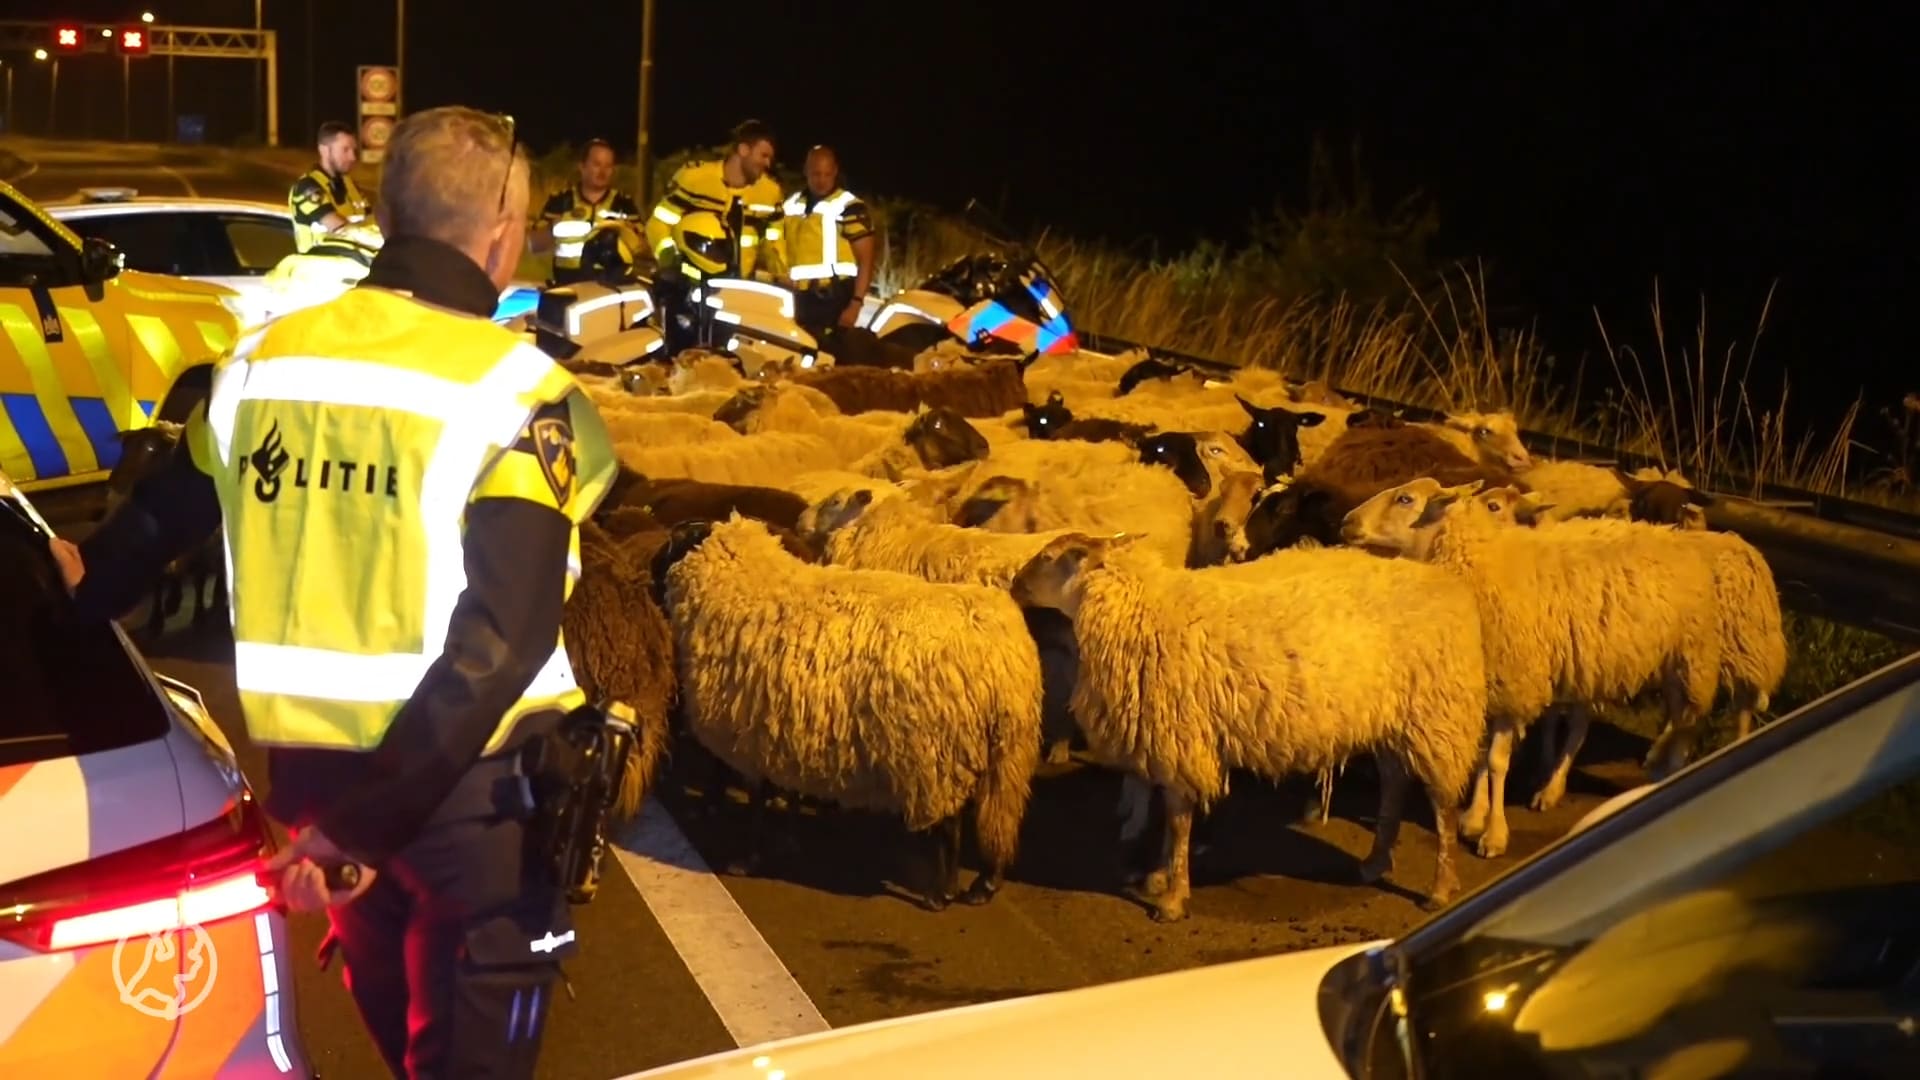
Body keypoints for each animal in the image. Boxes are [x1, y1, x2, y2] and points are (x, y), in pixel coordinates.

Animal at [648, 511, 1044, 907]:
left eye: (675, 544)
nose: (648, 579)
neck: (744, 586)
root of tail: (1006, 655)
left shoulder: (748, 733)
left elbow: (757, 803)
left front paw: (747, 858)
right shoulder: (779, 729)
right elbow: (779, 794)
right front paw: (788, 835)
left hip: (941, 755)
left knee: (952, 824)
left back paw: (941, 893)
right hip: (1003, 753)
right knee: (998, 816)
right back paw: (984, 885)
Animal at [1013, 530, 1489, 914]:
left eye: (1049, 557)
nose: (1014, 584)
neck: (1143, 610)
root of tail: (1449, 586)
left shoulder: (1183, 735)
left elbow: (1179, 819)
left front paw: (1172, 899)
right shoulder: (1177, 742)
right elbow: (1173, 816)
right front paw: (1161, 876)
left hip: (1437, 714)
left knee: (1442, 804)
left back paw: (1440, 888)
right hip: (1392, 721)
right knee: (1394, 784)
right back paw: (1374, 862)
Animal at [1336, 474, 1728, 853]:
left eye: (1405, 499)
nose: (1346, 522)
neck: (1479, 568)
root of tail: (1670, 532)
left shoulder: (1514, 683)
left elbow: (1497, 762)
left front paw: (1494, 834)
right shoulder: (1492, 688)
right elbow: (1483, 758)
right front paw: (1474, 817)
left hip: (1686, 659)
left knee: (1684, 722)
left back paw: (1665, 775)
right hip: (1595, 667)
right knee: (1582, 728)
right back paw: (1553, 789)